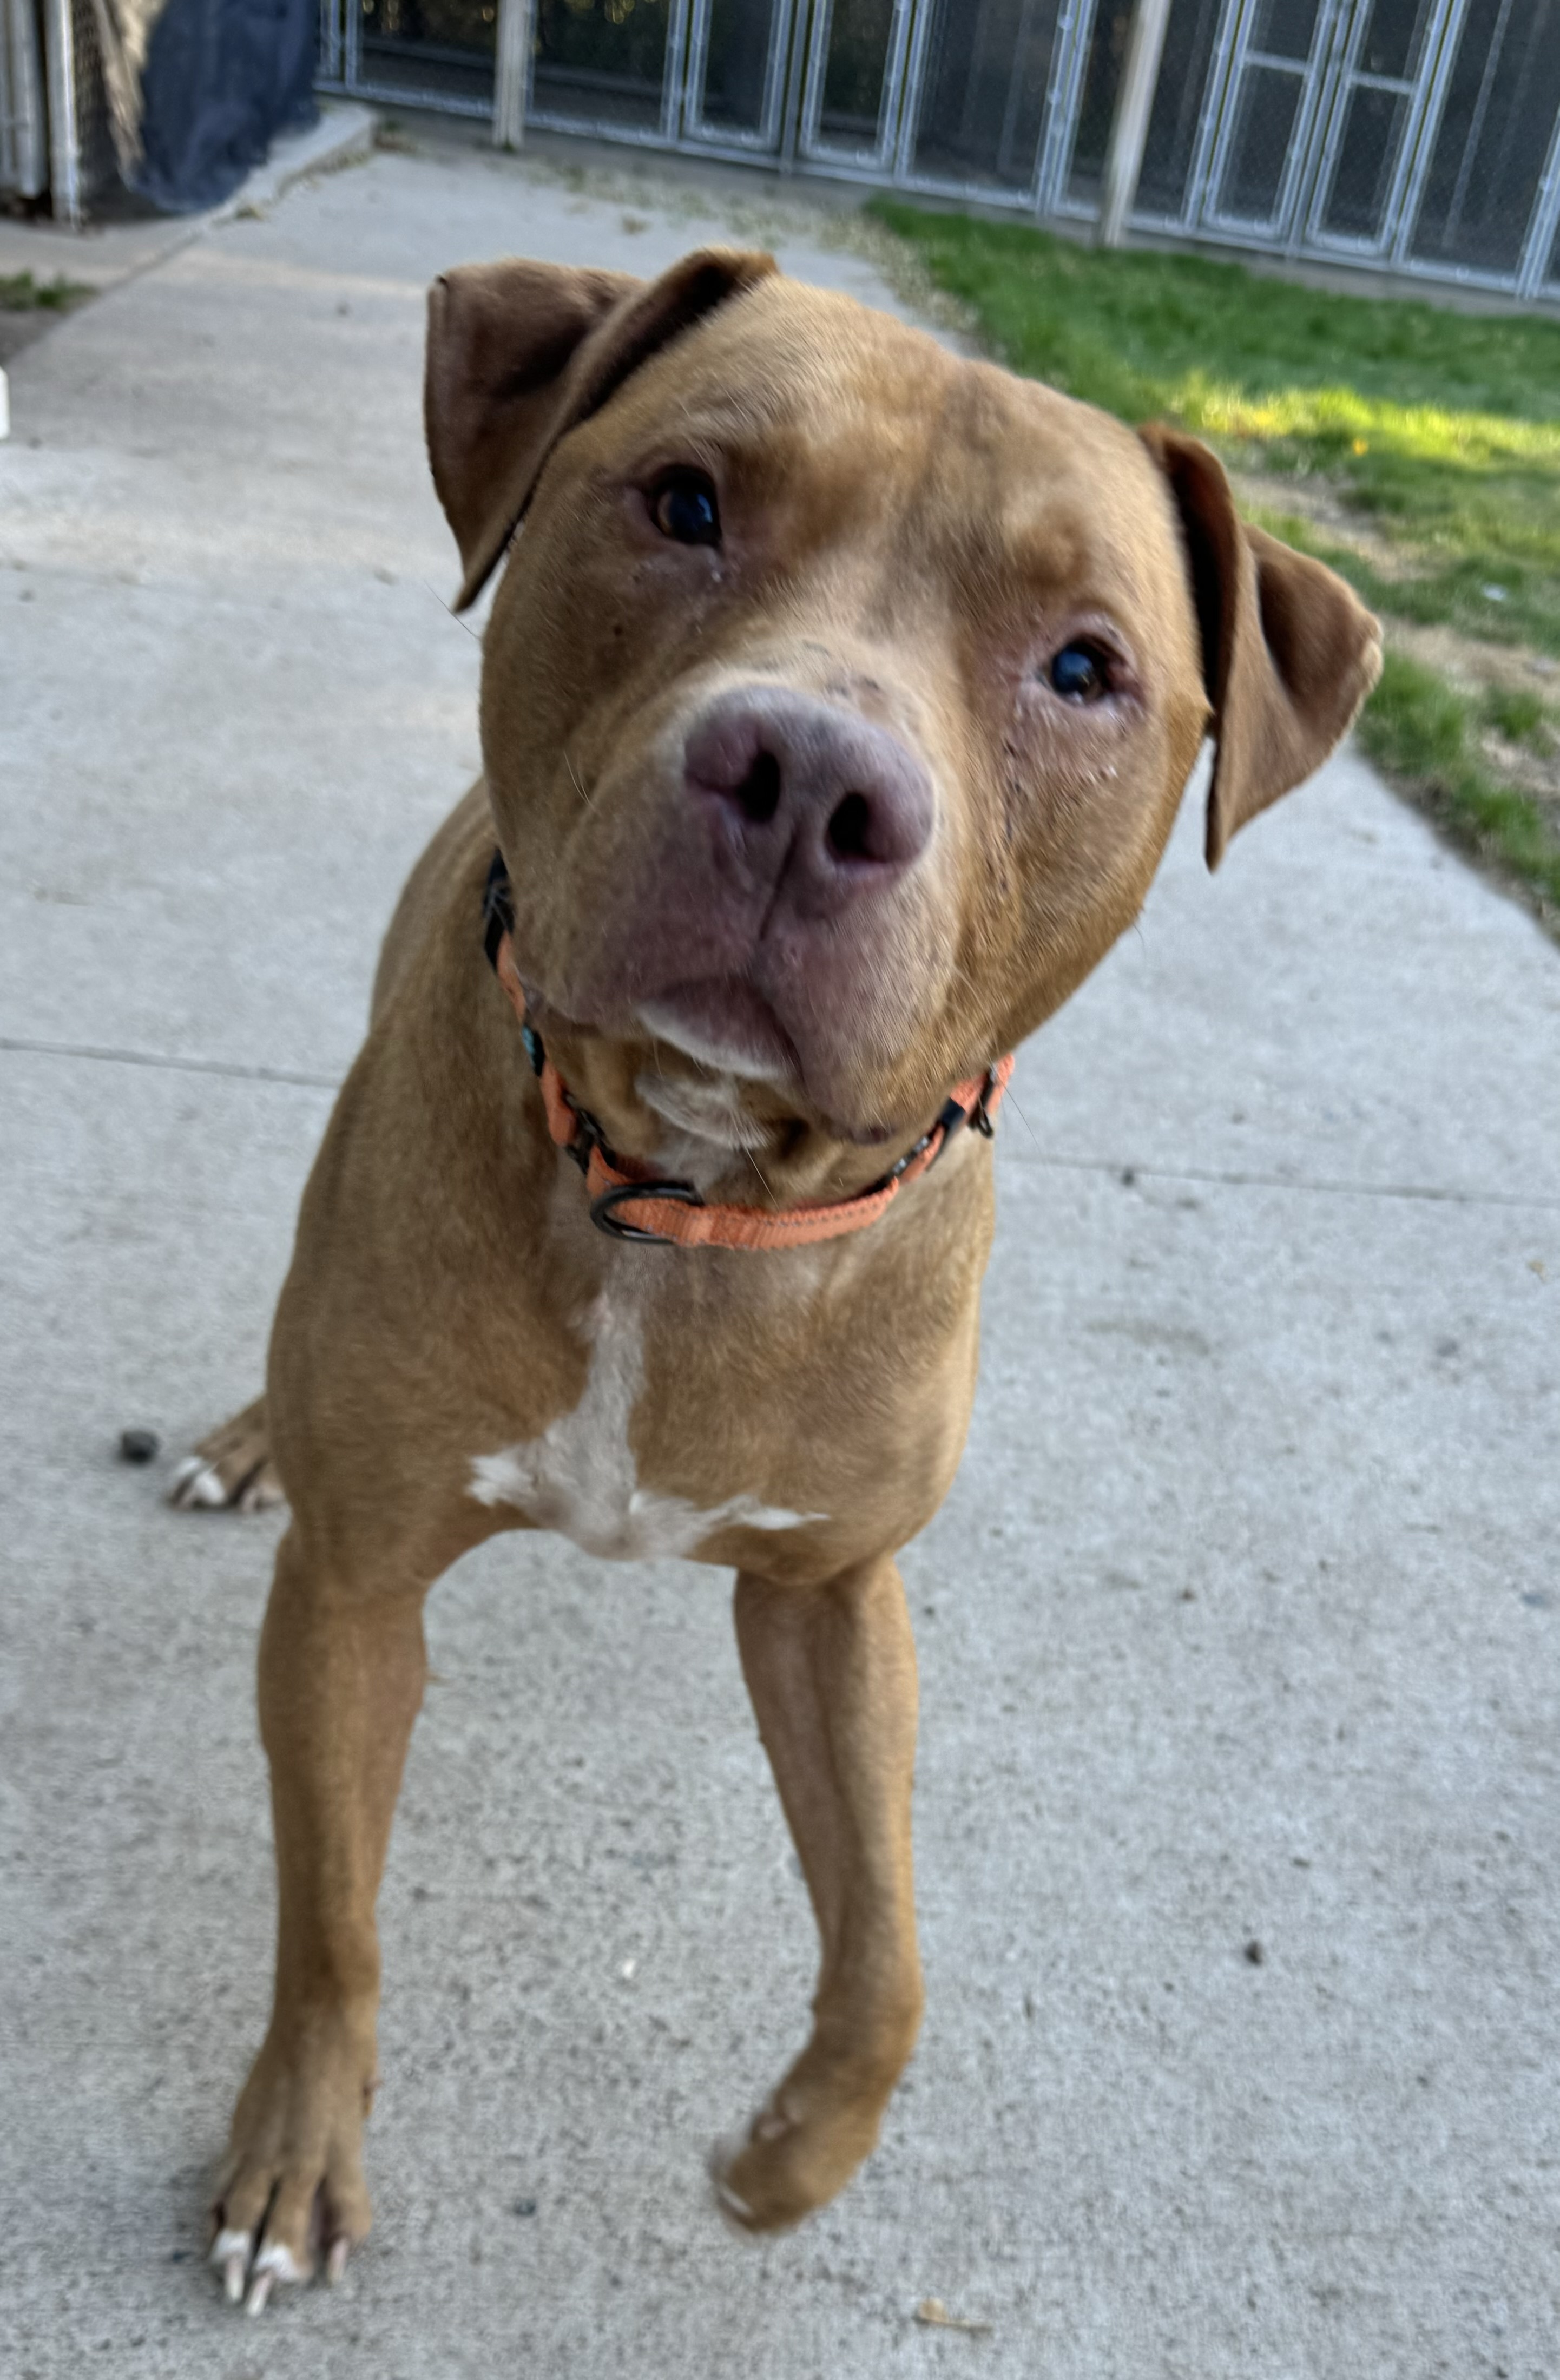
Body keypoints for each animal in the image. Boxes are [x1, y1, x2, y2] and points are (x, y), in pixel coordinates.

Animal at [183, 251, 1379, 2313]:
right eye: (685, 501)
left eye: (1084, 666)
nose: (809, 773)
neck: (690, 1193)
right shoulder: (350, 1591)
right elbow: (331, 1911)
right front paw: (292, 2157)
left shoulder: (834, 1592)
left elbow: (890, 1946)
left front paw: (792, 2156)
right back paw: (248, 1432)